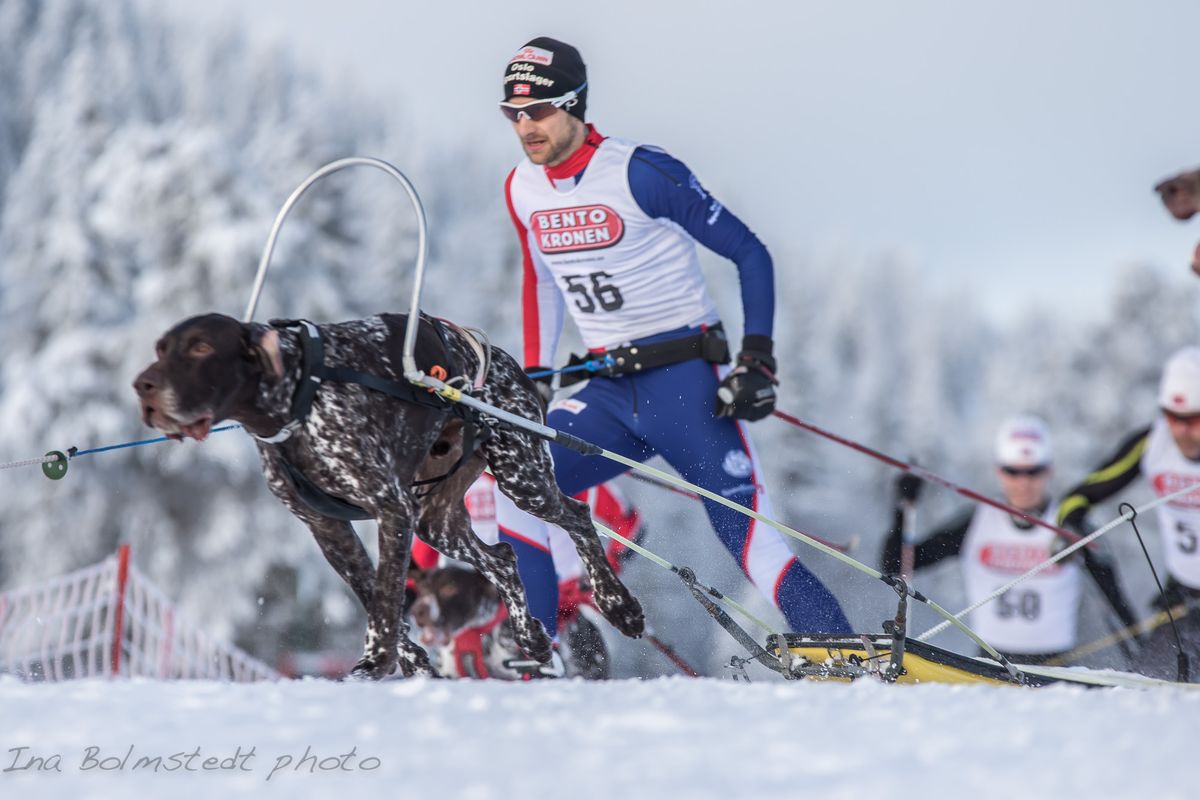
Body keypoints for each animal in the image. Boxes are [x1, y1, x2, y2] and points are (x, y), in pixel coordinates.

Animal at [131, 316, 643, 681]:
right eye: (160, 349)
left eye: (201, 347)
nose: (143, 386)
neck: (300, 394)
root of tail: (503, 359)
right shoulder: (328, 528)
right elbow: (372, 595)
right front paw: (410, 661)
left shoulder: (391, 511)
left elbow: (385, 597)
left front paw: (375, 664)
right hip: (437, 522)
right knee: (502, 557)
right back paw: (531, 636)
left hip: (522, 479)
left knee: (576, 515)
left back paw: (619, 605)